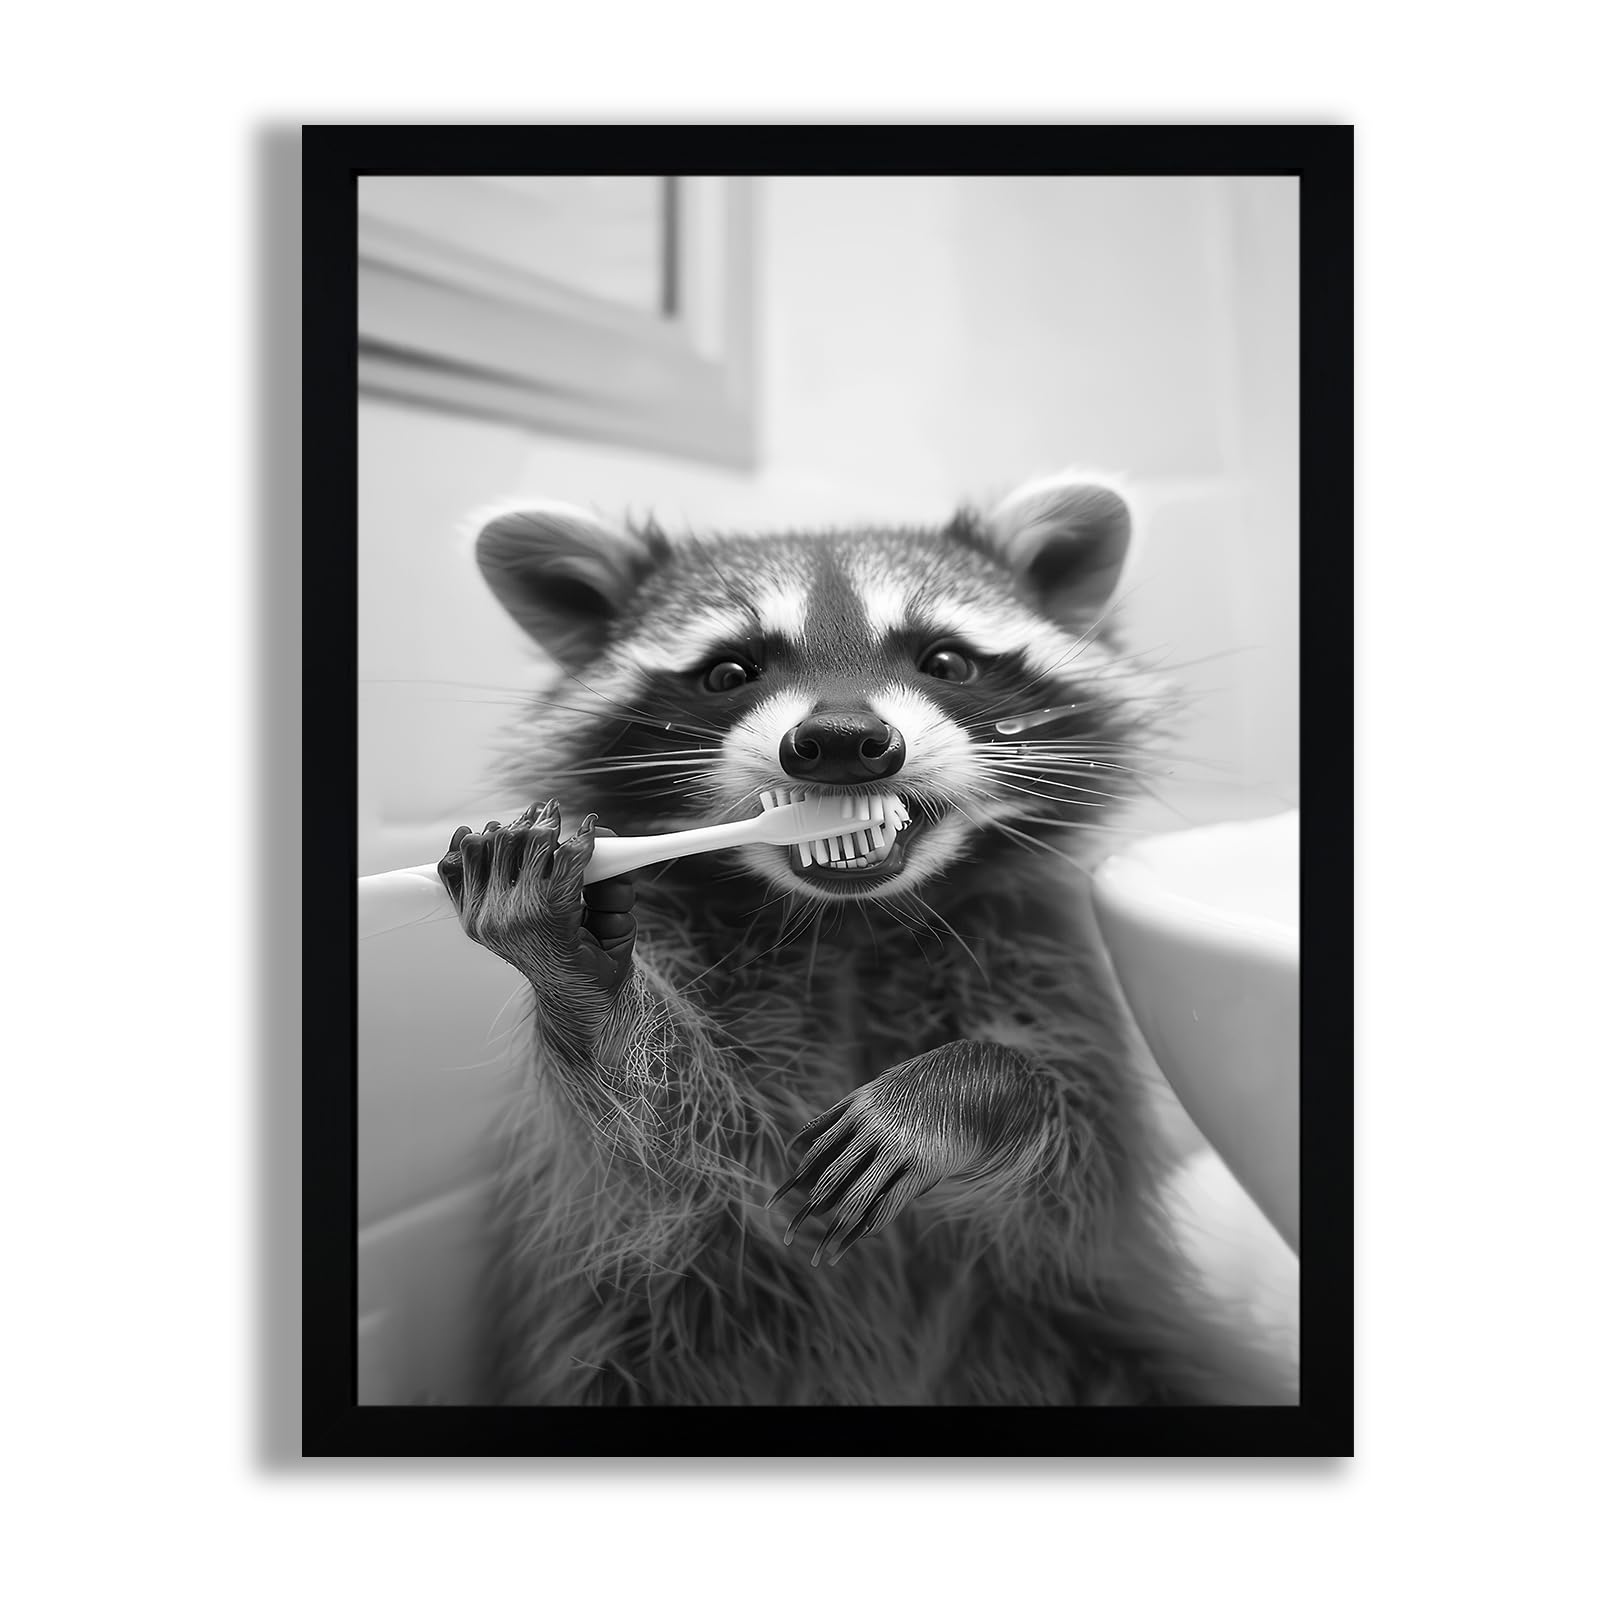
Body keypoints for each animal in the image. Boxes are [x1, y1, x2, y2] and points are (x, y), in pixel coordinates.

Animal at [437, 472, 1292, 1405]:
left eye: (946, 661)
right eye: (729, 671)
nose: (843, 741)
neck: (846, 922)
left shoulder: (1048, 964)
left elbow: (1073, 1164)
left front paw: (970, 1087)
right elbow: (664, 1148)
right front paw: (582, 984)